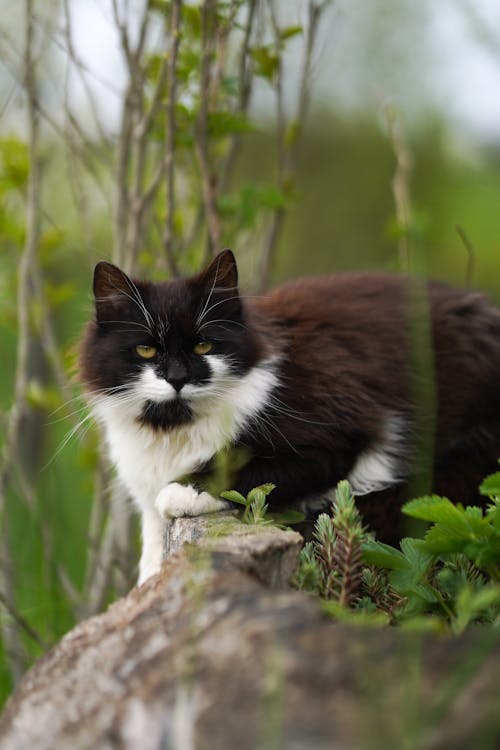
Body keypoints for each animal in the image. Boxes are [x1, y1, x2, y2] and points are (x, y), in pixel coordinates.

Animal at [80, 250, 500, 584]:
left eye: (203, 345)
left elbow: (243, 471)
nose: (178, 378)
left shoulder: (333, 437)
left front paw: (185, 490)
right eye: (146, 350)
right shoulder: (143, 491)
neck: (173, 428)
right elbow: (152, 549)